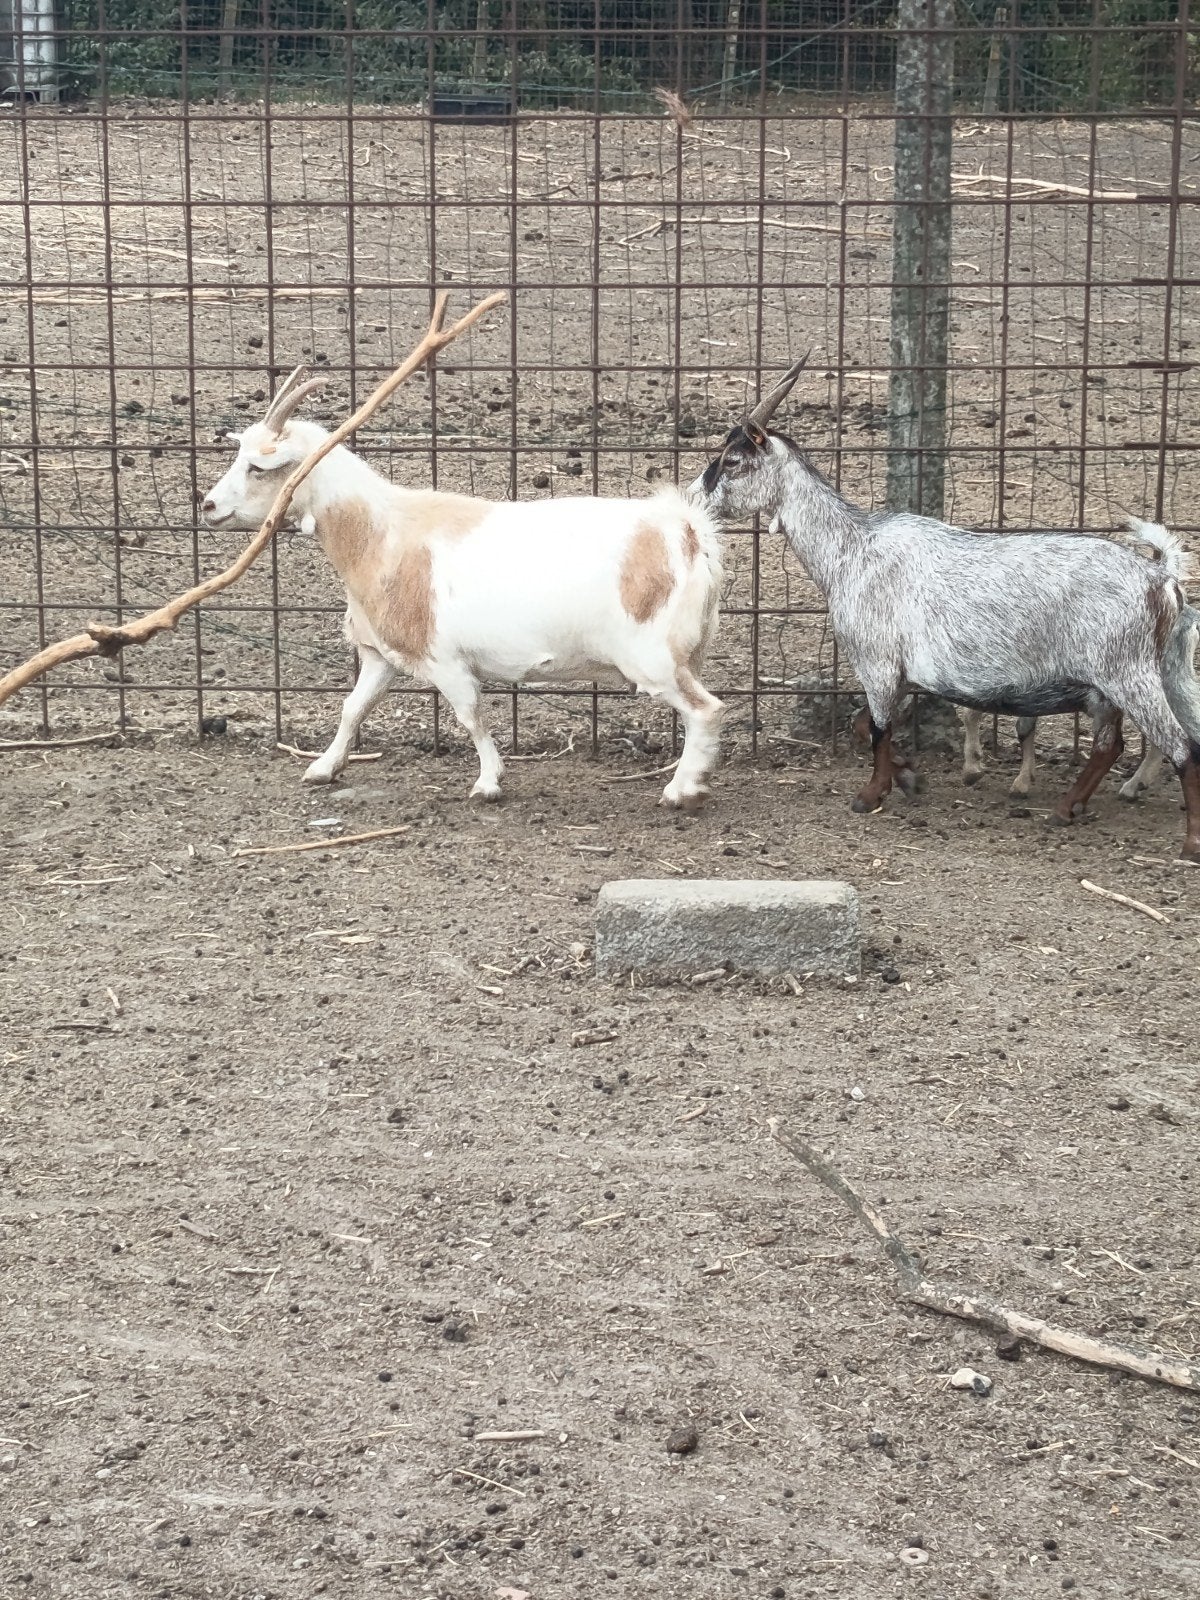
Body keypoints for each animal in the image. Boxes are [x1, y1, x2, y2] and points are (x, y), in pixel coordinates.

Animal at [202, 367, 724, 808]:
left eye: (256, 467)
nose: (207, 506)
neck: (382, 534)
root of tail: (687, 532)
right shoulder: (381, 656)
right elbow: (353, 708)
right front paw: (323, 769)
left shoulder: (445, 660)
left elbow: (471, 716)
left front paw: (489, 783)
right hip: (680, 653)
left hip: (651, 657)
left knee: (706, 710)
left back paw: (680, 792)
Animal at [697, 361, 1200, 860]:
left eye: (732, 461)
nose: (696, 498)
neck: (851, 549)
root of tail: (1162, 579)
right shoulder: (901, 674)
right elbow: (862, 726)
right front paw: (909, 776)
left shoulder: (878, 662)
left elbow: (877, 728)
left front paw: (871, 795)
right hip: (1148, 676)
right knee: (1114, 745)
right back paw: (1066, 809)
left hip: (1128, 672)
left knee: (1181, 746)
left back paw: (1189, 843)